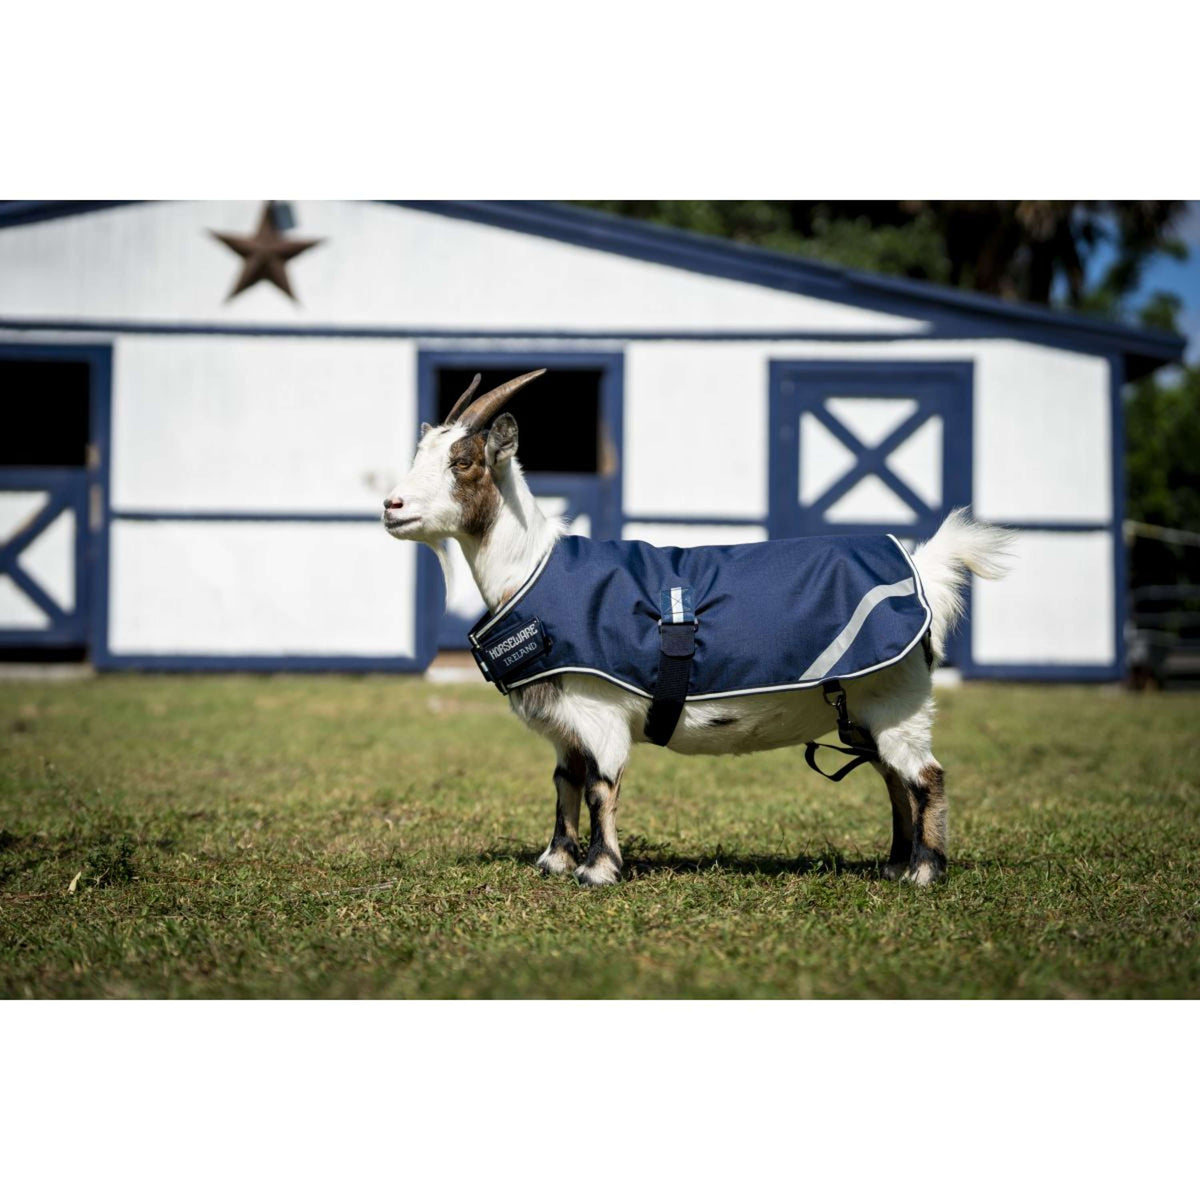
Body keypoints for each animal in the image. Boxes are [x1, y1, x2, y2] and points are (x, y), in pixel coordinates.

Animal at [384, 370, 1013, 886]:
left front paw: (598, 871)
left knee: (924, 777)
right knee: (892, 779)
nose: (392, 506)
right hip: (869, 709)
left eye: (463, 462)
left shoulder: (599, 710)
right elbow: (565, 781)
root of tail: (922, 569)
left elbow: (600, 786)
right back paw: (894, 864)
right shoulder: (566, 723)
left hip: (898, 700)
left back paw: (924, 872)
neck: (531, 571)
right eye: (421, 453)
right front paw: (555, 860)